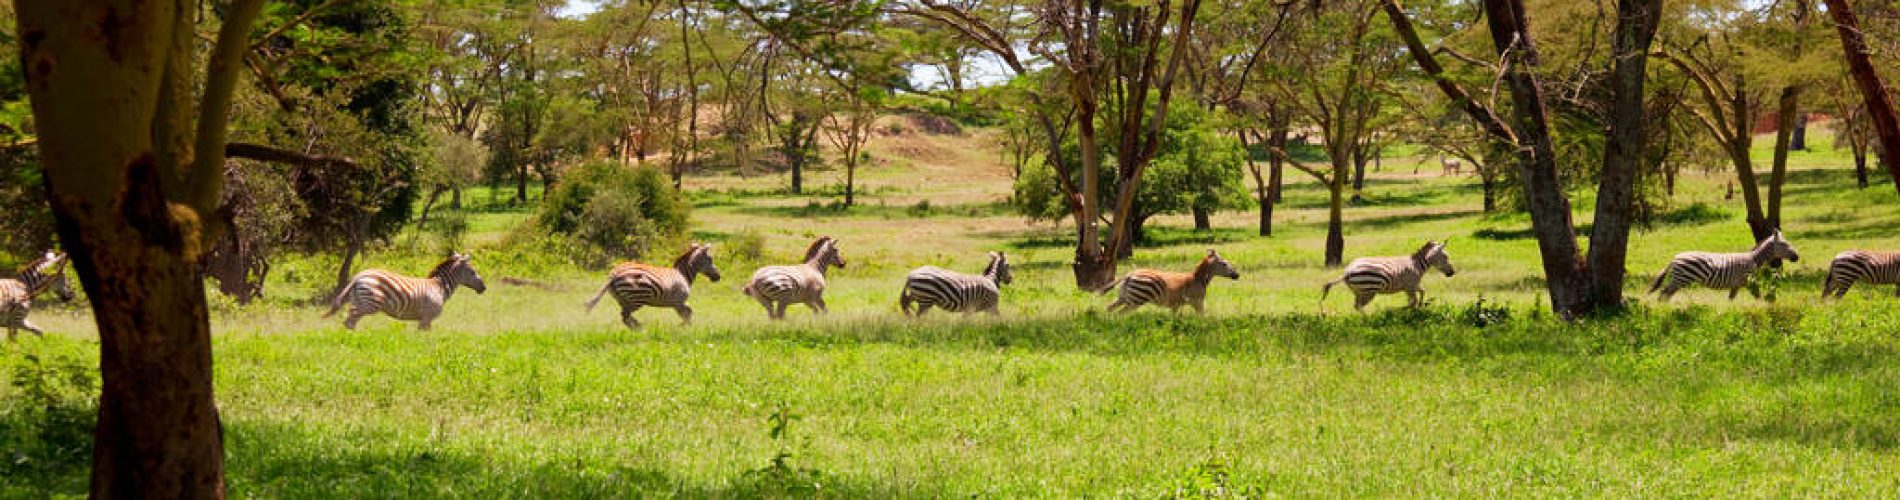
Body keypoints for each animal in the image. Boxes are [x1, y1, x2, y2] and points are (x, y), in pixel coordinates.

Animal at [321, 252, 486, 330]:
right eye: (473, 272)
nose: (484, 288)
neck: (438, 287)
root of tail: (358, 276)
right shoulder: (427, 317)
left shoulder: (425, 319)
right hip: (369, 304)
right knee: (350, 320)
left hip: (358, 300)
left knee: (349, 320)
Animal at [581, 243, 722, 328]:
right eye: (710, 259)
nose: (718, 277)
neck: (683, 274)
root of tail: (614, 274)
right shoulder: (679, 301)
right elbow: (689, 312)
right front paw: (685, 327)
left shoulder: (676, 303)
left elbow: (687, 314)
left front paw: (685, 326)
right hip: (637, 298)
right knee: (625, 316)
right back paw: (640, 328)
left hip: (623, 299)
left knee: (625, 317)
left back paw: (638, 328)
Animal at [1102, 249, 1246, 315]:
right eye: (1224, 264)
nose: (1237, 275)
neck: (1198, 280)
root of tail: (1129, 275)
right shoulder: (1197, 302)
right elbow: (1202, 316)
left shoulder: (1175, 305)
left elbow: (1174, 318)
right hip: (1136, 300)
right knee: (1120, 313)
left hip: (1124, 297)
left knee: (1110, 309)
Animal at [1322, 240, 1451, 313]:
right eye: (1446, 256)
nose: (1452, 273)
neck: (1417, 265)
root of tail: (1347, 272)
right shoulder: (1410, 286)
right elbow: (1413, 300)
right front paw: (1406, 311)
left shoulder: (1411, 285)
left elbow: (1421, 293)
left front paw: (1418, 307)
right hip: (1369, 291)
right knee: (1359, 306)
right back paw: (1369, 319)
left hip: (1358, 291)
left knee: (1357, 306)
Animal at [1649, 230, 1793, 302]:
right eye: (1784, 244)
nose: (1796, 257)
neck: (1754, 259)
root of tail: (1674, 259)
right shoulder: (1749, 282)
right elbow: (1757, 296)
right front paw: (1761, 306)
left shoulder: (1736, 285)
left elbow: (1731, 300)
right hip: (1681, 279)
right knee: (1664, 293)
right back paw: (1663, 308)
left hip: (1679, 280)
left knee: (1666, 294)